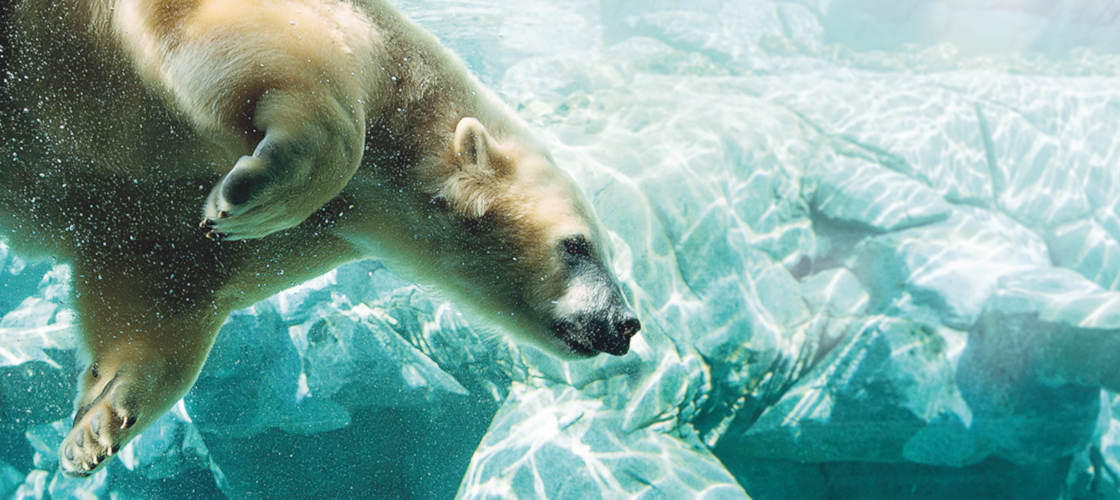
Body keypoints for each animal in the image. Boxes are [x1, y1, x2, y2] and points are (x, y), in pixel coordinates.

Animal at [1, 0, 641, 476]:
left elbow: (163, 284)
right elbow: (265, 53)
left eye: (607, 250)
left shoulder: (294, 225)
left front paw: (97, 425)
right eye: (577, 245)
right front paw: (245, 197)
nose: (625, 324)